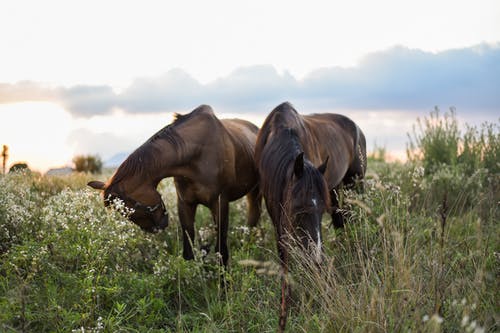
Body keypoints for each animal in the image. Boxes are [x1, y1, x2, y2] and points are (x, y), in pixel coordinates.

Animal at [89, 105, 262, 266]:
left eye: (133, 208)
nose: (160, 226)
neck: (197, 153)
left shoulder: (220, 203)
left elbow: (222, 251)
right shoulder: (185, 203)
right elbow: (188, 251)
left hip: (256, 192)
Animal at [254, 100, 368, 330]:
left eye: (320, 209)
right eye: (298, 208)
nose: (316, 260)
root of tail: (357, 129)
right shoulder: (277, 214)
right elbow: (284, 255)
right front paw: (285, 306)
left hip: (354, 184)